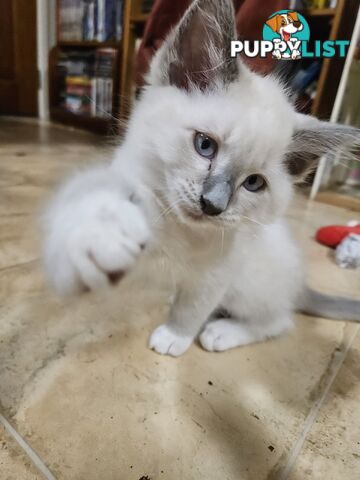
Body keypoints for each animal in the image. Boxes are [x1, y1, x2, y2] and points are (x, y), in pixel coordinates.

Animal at [43, 0, 360, 354]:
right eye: (205, 145)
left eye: (253, 183)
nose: (212, 204)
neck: (174, 226)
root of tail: (300, 285)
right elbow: (92, 198)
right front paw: (97, 238)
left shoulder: (216, 273)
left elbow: (192, 308)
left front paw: (175, 336)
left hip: (249, 286)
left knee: (277, 321)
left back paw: (221, 332)